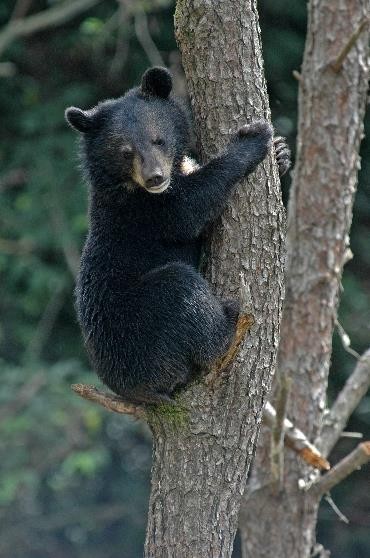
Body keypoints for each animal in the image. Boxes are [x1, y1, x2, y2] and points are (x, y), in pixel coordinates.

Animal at [66, 66, 292, 406]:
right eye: (126, 152)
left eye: (158, 140)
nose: (154, 178)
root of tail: (139, 392)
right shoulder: (146, 211)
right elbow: (191, 208)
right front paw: (254, 138)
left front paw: (281, 153)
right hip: (146, 329)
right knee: (182, 290)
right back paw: (229, 321)